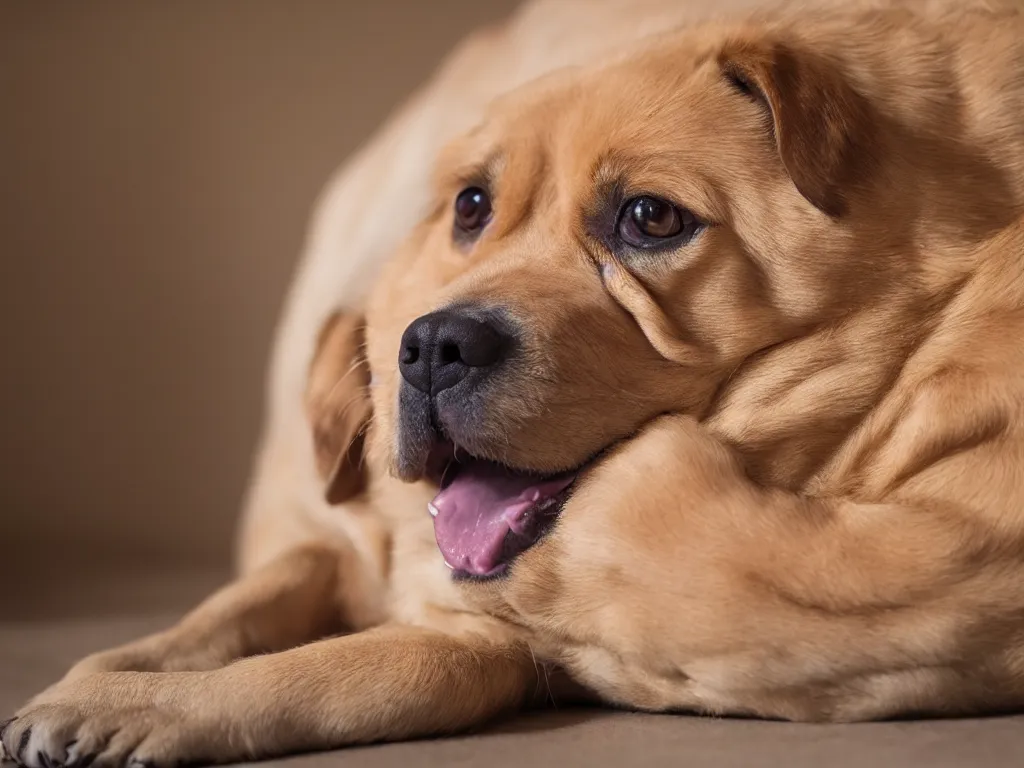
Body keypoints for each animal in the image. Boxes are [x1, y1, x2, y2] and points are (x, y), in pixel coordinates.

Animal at [2, 0, 1024, 765]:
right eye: (472, 207)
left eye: (651, 218)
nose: (431, 347)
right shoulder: (337, 549)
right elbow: (232, 606)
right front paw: (106, 672)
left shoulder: (474, 642)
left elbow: (316, 673)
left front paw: (141, 709)